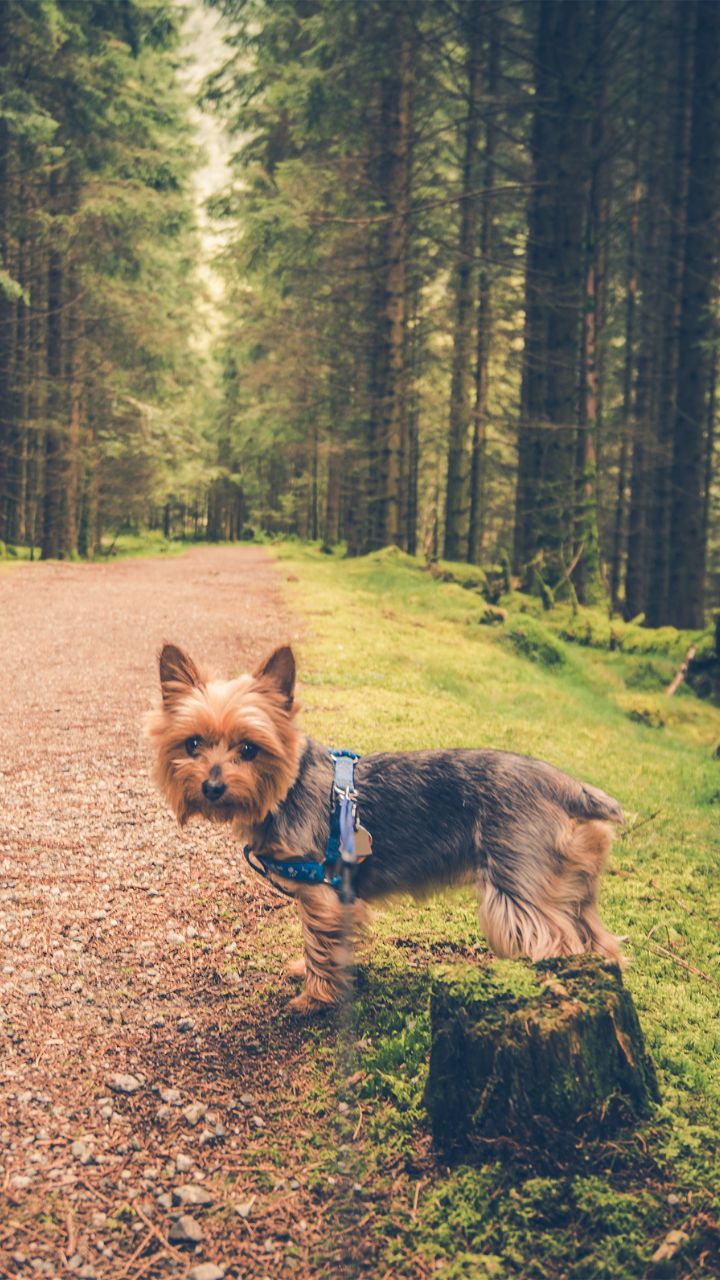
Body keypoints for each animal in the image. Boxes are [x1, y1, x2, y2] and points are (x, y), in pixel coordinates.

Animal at [147, 645, 622, 1013]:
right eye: (192, 744)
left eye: (249, 749)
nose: (212, 788)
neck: (286, 787)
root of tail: (566, 786)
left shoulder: (323, 894)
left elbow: (319, 945)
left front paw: (315, 997)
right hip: (570, 885)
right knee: (597, 942)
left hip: (517, 885)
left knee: (554, 941)